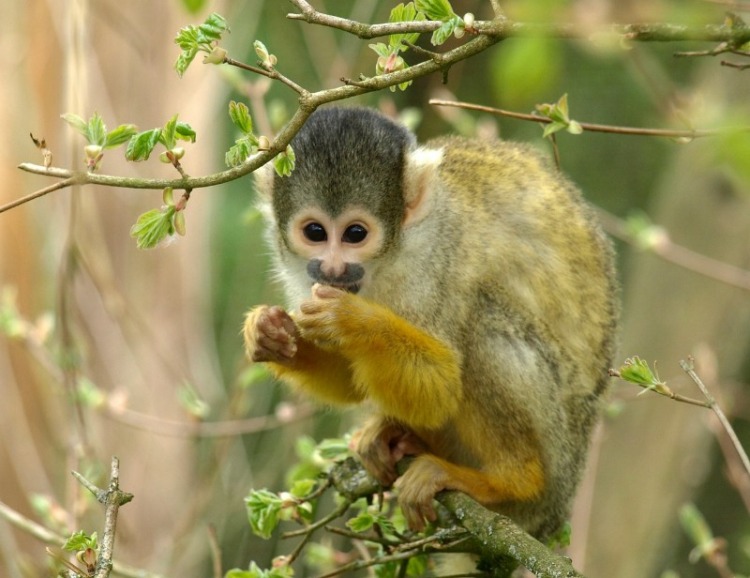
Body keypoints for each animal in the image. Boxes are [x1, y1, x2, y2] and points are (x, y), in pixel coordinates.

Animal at [244, 104, 620, 540]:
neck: (388, 259)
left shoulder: (437, 258)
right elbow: (350, 380)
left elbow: (440, 387)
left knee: (482, 320)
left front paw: (351, 322)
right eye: (315, 232)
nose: (333, 268)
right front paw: (272, 334)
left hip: (556, 452)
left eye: (355, 233)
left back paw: (511, 480)